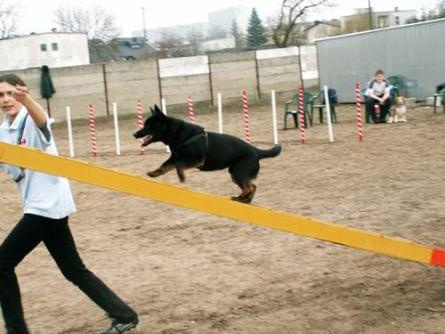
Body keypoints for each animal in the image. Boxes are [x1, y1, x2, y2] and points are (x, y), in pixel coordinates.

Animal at [133, 105, 280, 202]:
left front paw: (182, 178)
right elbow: (164, 166)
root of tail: (257, 151)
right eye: (145, 124)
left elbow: (179, 166)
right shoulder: (174, 158)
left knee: (249, 187)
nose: (134, 134)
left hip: (239, 172)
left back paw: (239, 198)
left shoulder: (195, 160)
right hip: (234, 174)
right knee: (252, 186)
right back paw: (244, 200)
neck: (183, 135)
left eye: (148, 126)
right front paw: (154, 173)